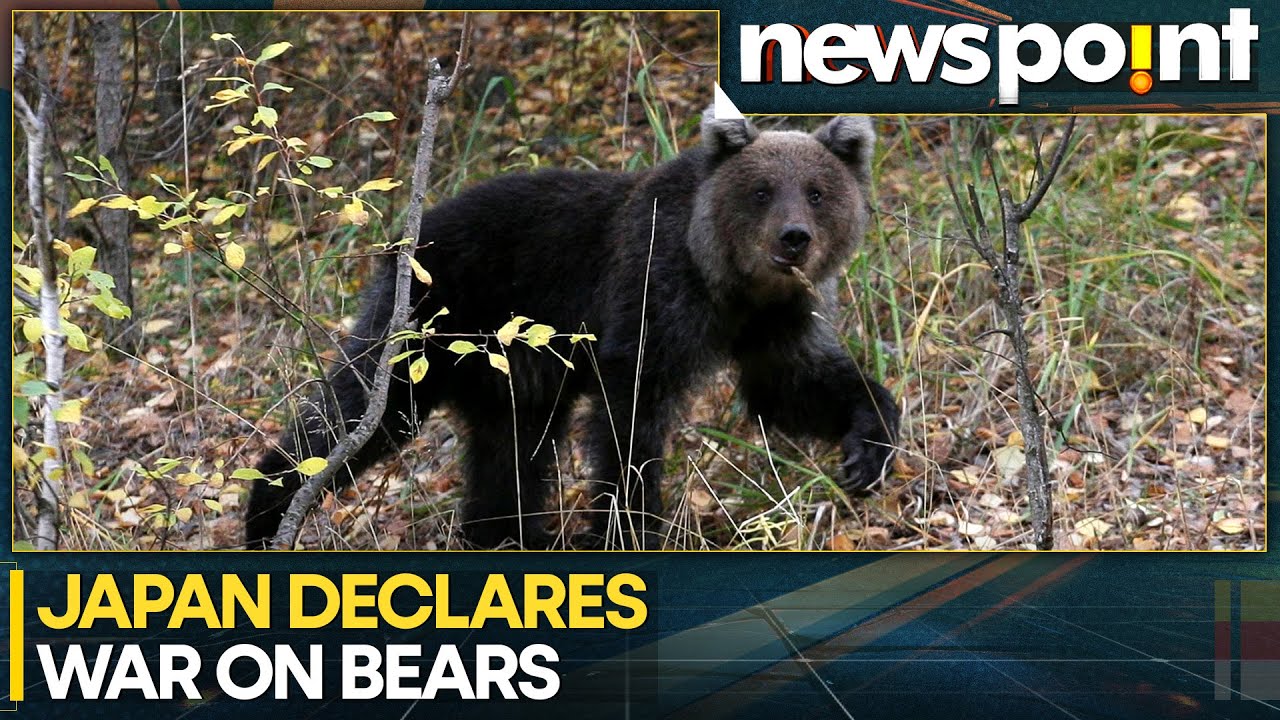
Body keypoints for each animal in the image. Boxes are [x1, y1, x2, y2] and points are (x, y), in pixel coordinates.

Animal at [245, 109, 900, 550]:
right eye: (761, 190)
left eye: (817, 192)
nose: (794, 239)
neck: (729, 282)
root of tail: (406, 236)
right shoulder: (654, 290)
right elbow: (631, 416)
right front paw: (632, 524)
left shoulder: (775, 319)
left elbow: (793, 384)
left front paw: (867, 449)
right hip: (429, 323)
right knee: (363, 411)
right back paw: (269, 509)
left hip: (511, 369)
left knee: (512, 451)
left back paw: (502, 534)